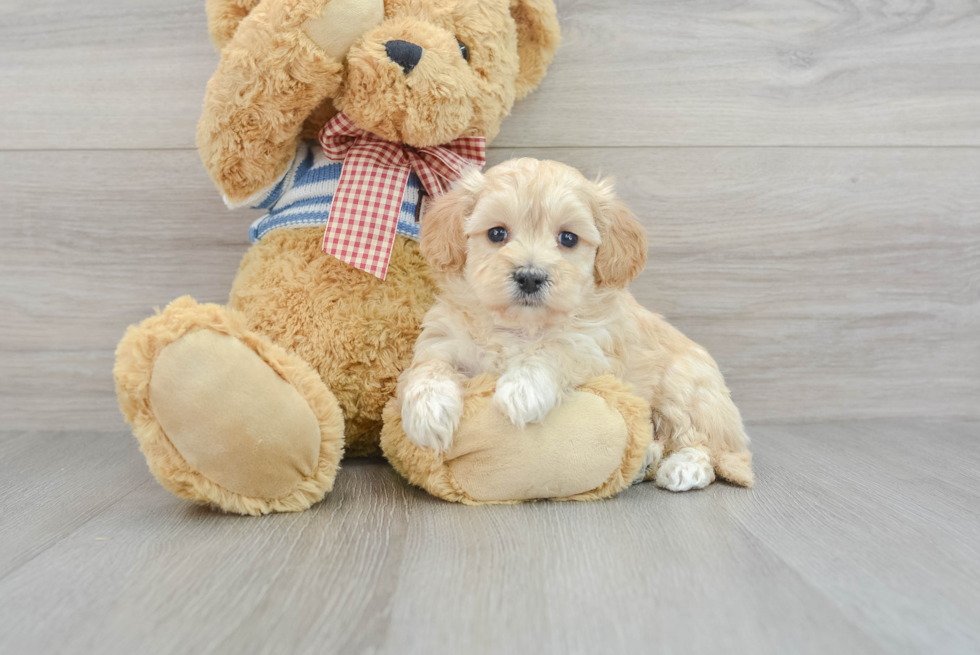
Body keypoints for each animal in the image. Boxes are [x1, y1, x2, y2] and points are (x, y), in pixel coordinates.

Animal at [398, 159, 752, 492]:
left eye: (568, 238)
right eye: (497, 233)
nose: (530, 276)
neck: (521, 327)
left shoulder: (594, 349)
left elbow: (556, 350)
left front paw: (522, 390)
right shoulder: (444, 340)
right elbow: (428, 368)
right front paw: (428, 412)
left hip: (682, 388)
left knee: (702, 443)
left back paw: (684, 468)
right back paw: (646, 460)